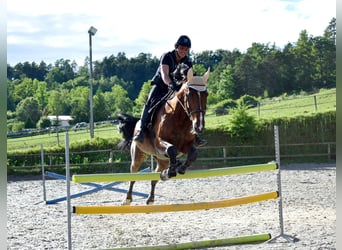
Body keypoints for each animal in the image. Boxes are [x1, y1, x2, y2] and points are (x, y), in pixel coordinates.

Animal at [117, 67, 208, 205]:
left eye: (206, 94)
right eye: (189, 94)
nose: (199, 126)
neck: (179, 118)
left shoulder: (186, 145)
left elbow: (193, 153)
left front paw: (181, 168)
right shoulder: (159, 142)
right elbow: (172, 149)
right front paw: (172, 171)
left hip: (161, 160)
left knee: (155, 175)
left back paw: (151, 197)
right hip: (138, 154)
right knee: (134, 174)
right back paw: (127, 199)